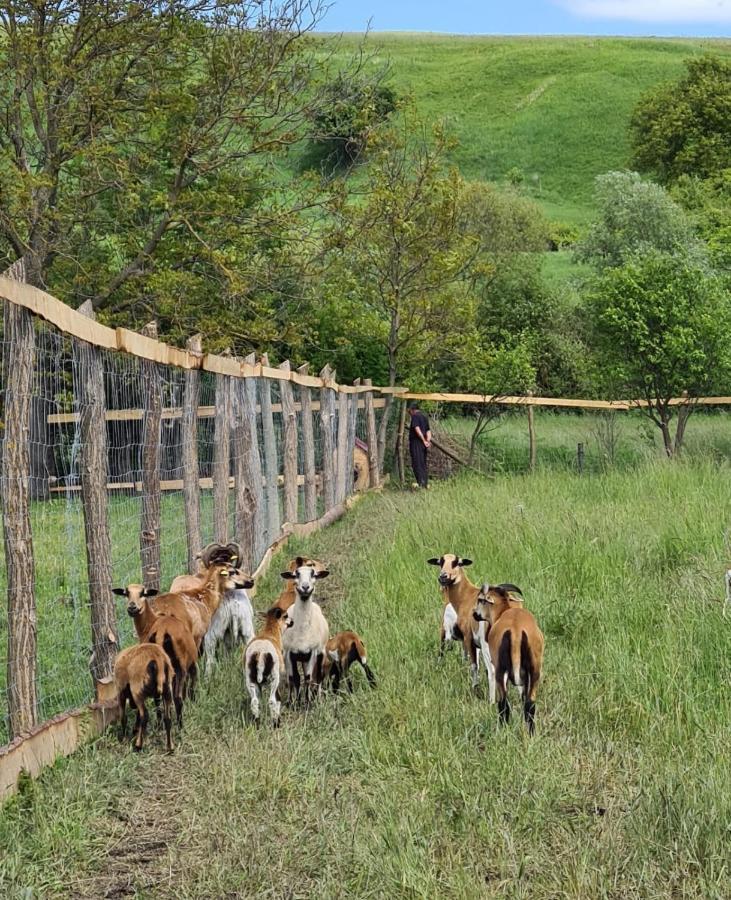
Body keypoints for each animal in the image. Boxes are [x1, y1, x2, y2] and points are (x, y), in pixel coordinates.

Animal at [282, 564, 330, 704]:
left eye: (313, 574)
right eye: (296, 574)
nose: (305, 587)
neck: (302, 632)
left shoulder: (312, 653)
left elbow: (308, 678)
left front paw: (307, 702)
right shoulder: (288, 654)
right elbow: (293, 678)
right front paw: (293, 702)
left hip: (320, 653)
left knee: (319, 676)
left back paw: (318, 697)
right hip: (301, 658)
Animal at [474, 580, 544, 736]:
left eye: (480, 599)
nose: (475, 614)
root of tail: (516, 631)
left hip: (501, 670)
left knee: (504, 703)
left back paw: (503, 730)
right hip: (535, 670)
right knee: (529, 703)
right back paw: (531, 734)